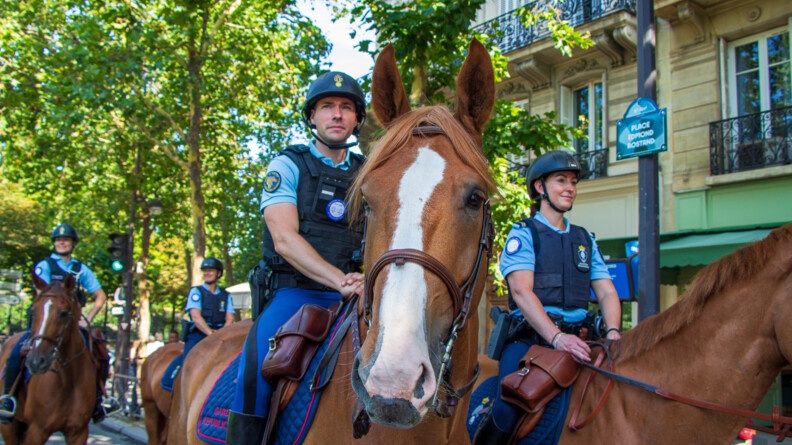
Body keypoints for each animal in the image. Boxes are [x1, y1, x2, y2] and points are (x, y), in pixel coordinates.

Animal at [0, 274, 96, 444]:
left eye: (64, 313)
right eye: (33, 311)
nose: (36, 361)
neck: (69, 380)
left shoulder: (78, 432)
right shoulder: (37, 431)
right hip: (9, 427)